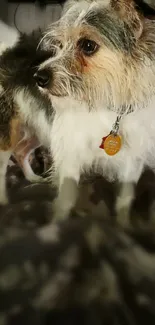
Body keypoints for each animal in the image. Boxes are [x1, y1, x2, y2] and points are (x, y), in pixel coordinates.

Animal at [33, 0, 155, 220]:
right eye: (60, 45)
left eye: (88, 45)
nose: (39, 77)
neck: (111, 110)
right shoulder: (72, 153)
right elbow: (66, 196)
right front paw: (58, 222)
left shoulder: (133, 161)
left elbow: (125, 196)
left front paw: (123, 223)